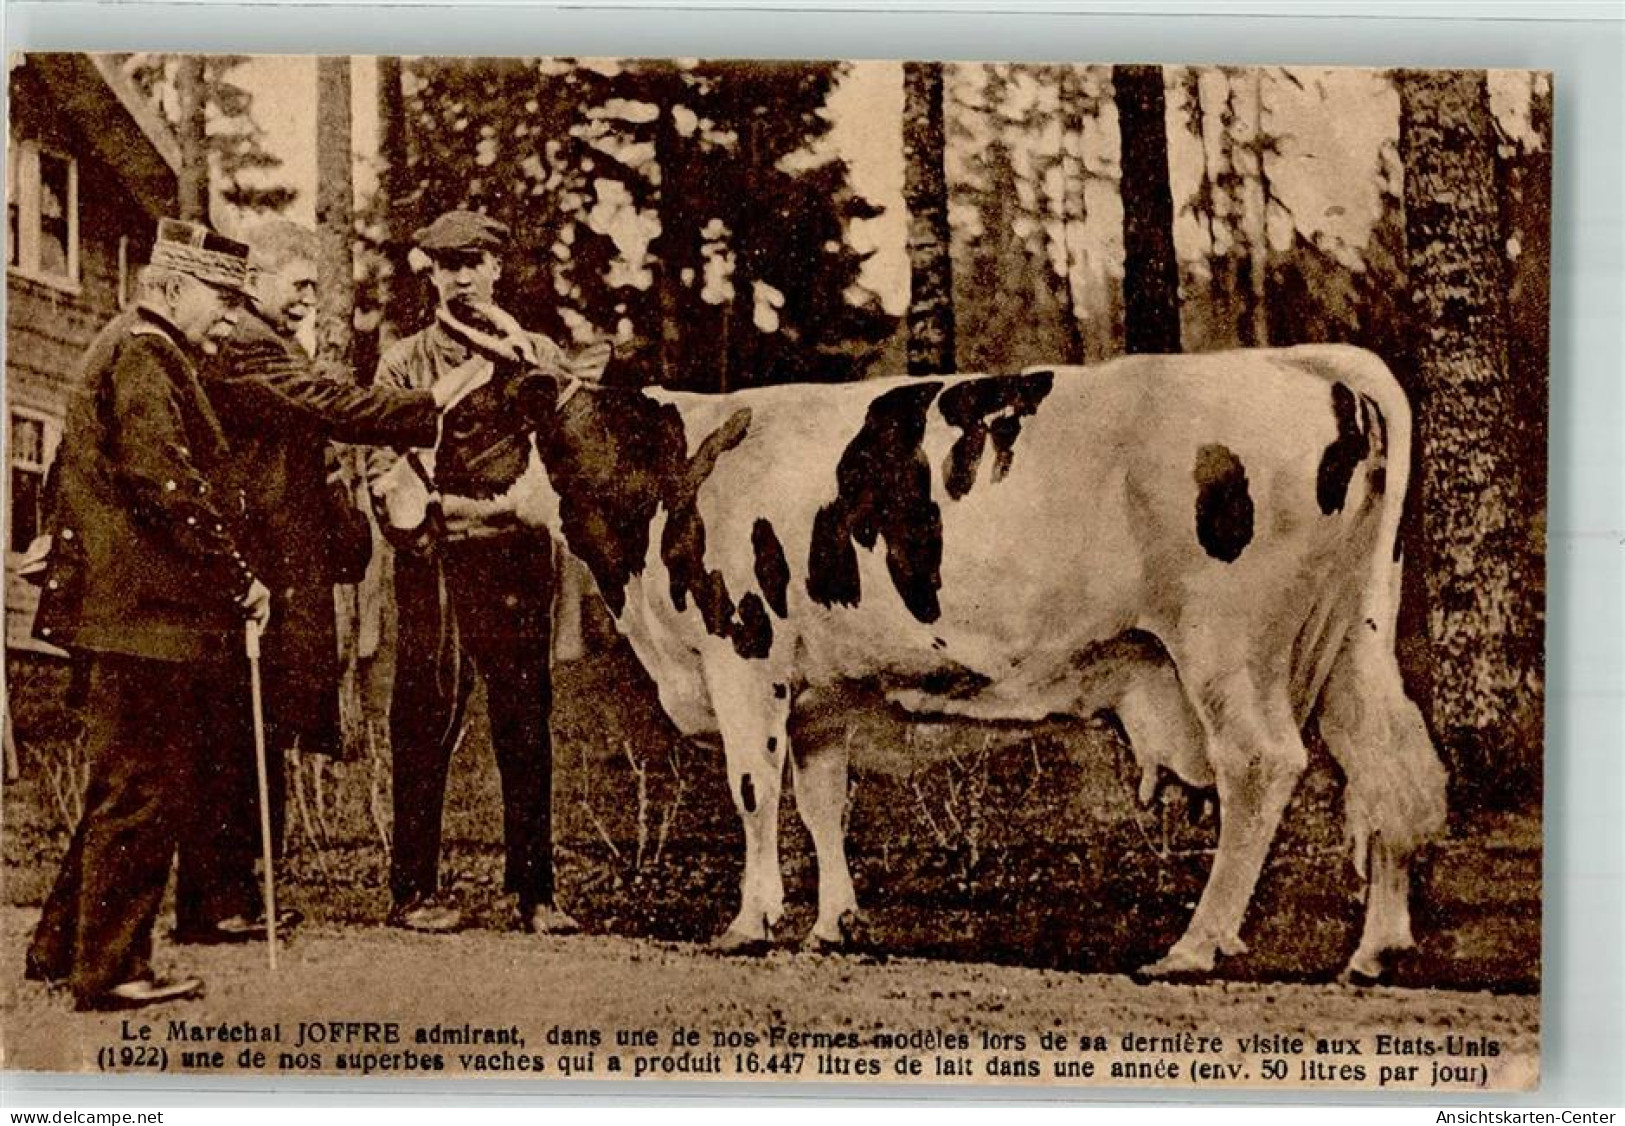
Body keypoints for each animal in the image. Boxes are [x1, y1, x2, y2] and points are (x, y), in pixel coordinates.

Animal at [377, 337, 1449, 981]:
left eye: (464, 420)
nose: (385, 495)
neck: (673, 476)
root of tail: (1307, 365)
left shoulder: (742, 654)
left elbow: (752, 792)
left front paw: (750, 920)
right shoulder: (819, 695)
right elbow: (822, 802)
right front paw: (835, 924)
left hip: (1229, 647)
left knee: (1261, 768)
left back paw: (1193, 945)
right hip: (1349, 644)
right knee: (1387, 768)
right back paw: (1373, 950)